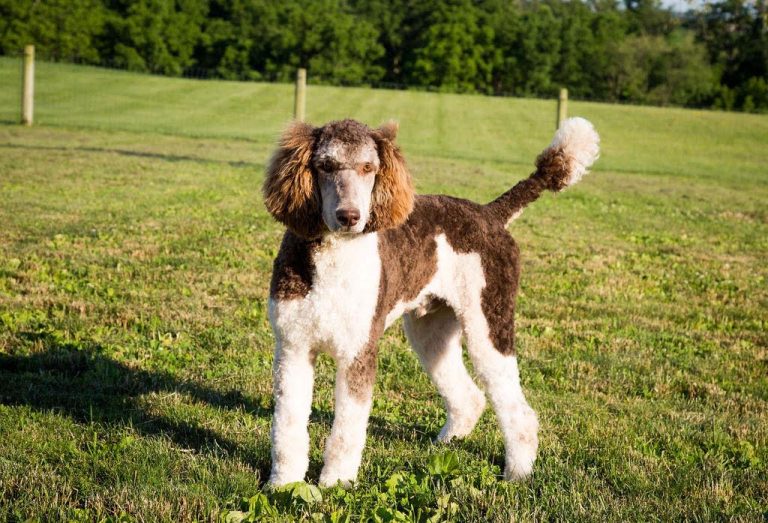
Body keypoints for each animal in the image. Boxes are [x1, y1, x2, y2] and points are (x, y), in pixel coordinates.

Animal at [262, 117, 600, 488]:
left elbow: (346, 431)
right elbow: (287, 426)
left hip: (488, 324)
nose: (349, 216)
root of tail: (490, 213)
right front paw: (284, 484)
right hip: (431, 332)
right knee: (470, 397)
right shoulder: (293, 348)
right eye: (325, 165)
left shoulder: (358, 353)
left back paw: (518, 473)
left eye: (369, 167)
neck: (334, 258)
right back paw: (448, 443)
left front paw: (335, 484)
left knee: (519, 412)